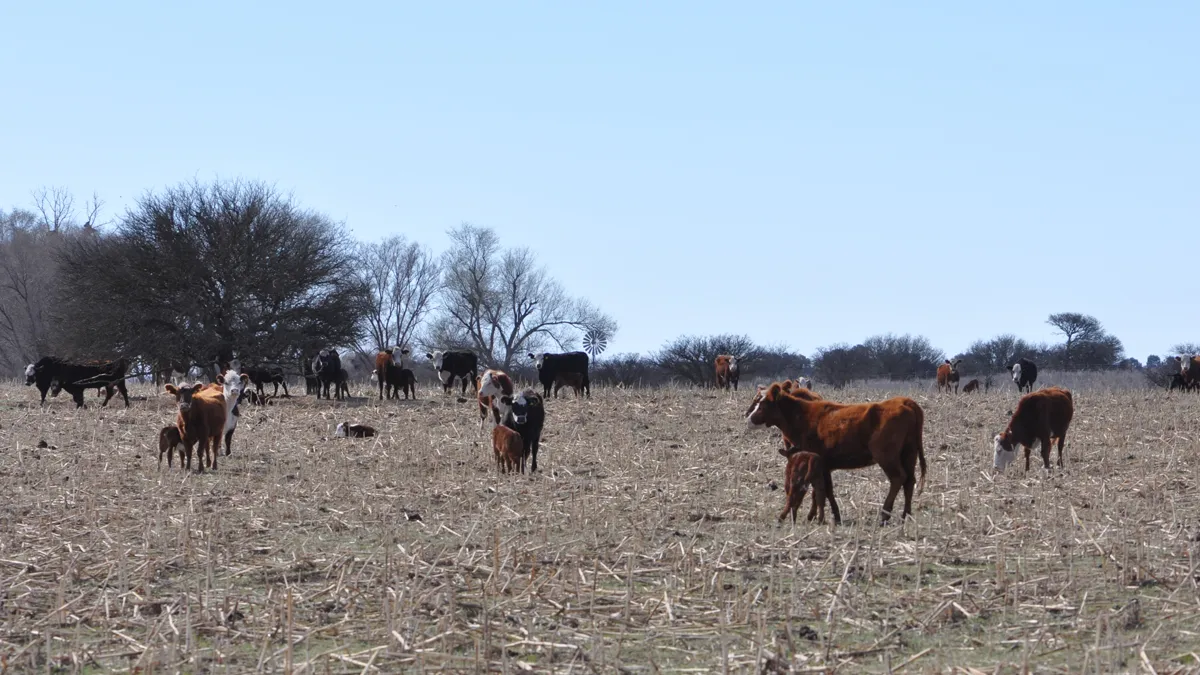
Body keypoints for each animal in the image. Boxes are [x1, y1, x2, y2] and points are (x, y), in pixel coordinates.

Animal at [746, 382, 927, 524]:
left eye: (762, 405)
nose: (747, 419)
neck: (803, 416)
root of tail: (904, 401)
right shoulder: (824, 466)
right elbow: (825, 490)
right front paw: (829, 515)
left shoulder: (815, 462)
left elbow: (820, 490)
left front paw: (818, 516)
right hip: (909, 454)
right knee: (909, 481)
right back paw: (905, 515)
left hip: (886, 456)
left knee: (898, 478)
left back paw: (884, 515)